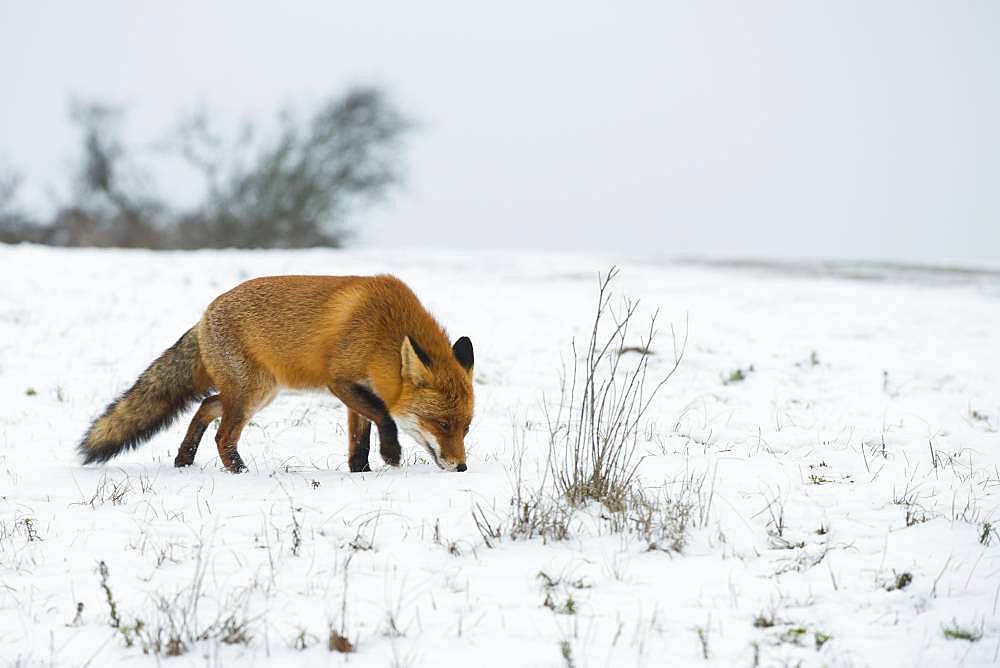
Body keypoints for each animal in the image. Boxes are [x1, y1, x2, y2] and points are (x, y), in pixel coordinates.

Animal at [76, 276, 474, 474]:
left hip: (257, 393)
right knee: (223, 435)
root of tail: (203, 317)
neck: (383, 329)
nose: (461, 467)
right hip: (250, 394)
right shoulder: (340, 382)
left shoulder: (358, 390)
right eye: (441, 424)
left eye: (466, 428)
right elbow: (384, 417)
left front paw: (360, 471)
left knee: (206, 406)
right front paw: (390, 453)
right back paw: (239, 472)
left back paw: (184, 459)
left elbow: (359, 437)